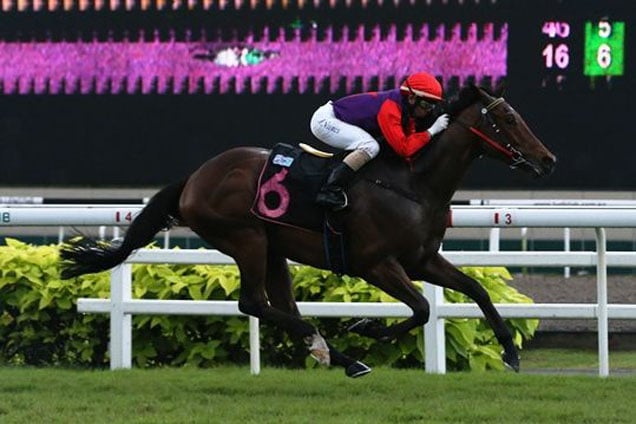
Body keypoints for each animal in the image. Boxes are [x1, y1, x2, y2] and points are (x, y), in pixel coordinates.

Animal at [60, 85, 556, 378]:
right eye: (508, 119)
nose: (547, 159)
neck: (413, 183)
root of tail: (196, 177)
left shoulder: (421, 259)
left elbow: (476, 290)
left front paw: (511, 352)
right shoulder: (374, 264)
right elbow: (421, 308)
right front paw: (367, 328)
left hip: (273, 247)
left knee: (279, 305)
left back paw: (338, 356)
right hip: (246, 239)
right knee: (253, 303)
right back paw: (332, 348)